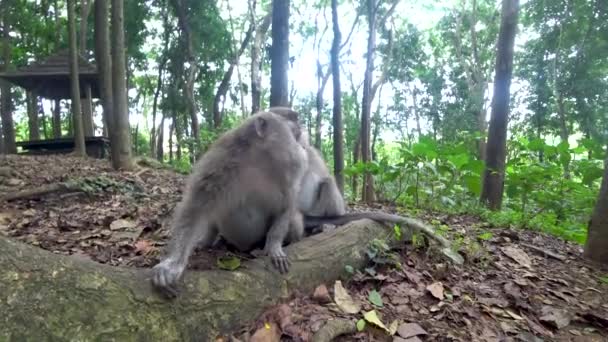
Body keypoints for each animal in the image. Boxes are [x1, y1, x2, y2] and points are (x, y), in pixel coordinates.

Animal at [152, 111, 308, 298]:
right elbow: (195, 207)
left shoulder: (289, 171)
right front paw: (173, 264)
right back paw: (209, 240)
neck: (259, 157)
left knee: (294, 221)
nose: (302, 146)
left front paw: (274, 247)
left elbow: (286, 206)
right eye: (293, 132)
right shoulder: (220, 161)